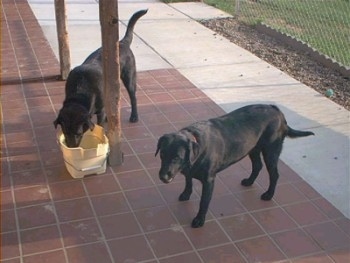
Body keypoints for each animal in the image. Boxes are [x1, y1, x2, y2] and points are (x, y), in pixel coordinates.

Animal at [53, 9, 148, 147]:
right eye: (65, 133)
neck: (80, 91)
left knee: (133, 97)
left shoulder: (100, 110)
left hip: (129, 77)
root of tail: (121, 42)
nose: (72, 148)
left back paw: (134, 116)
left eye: (78, 133)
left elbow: (100, 124)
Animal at [156, 104, 314, 228]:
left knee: (274, 174)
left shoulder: (209, 180)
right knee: (257, 166)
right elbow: (188, 182)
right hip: (252, 148)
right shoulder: (188, 170)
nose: (163, 177)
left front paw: (199, 219)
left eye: (177, 157)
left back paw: (269, 194)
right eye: (162, 154)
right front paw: (186, 194)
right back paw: (249, 181)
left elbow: (204, 202)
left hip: (270, 151)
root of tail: (277, 110)